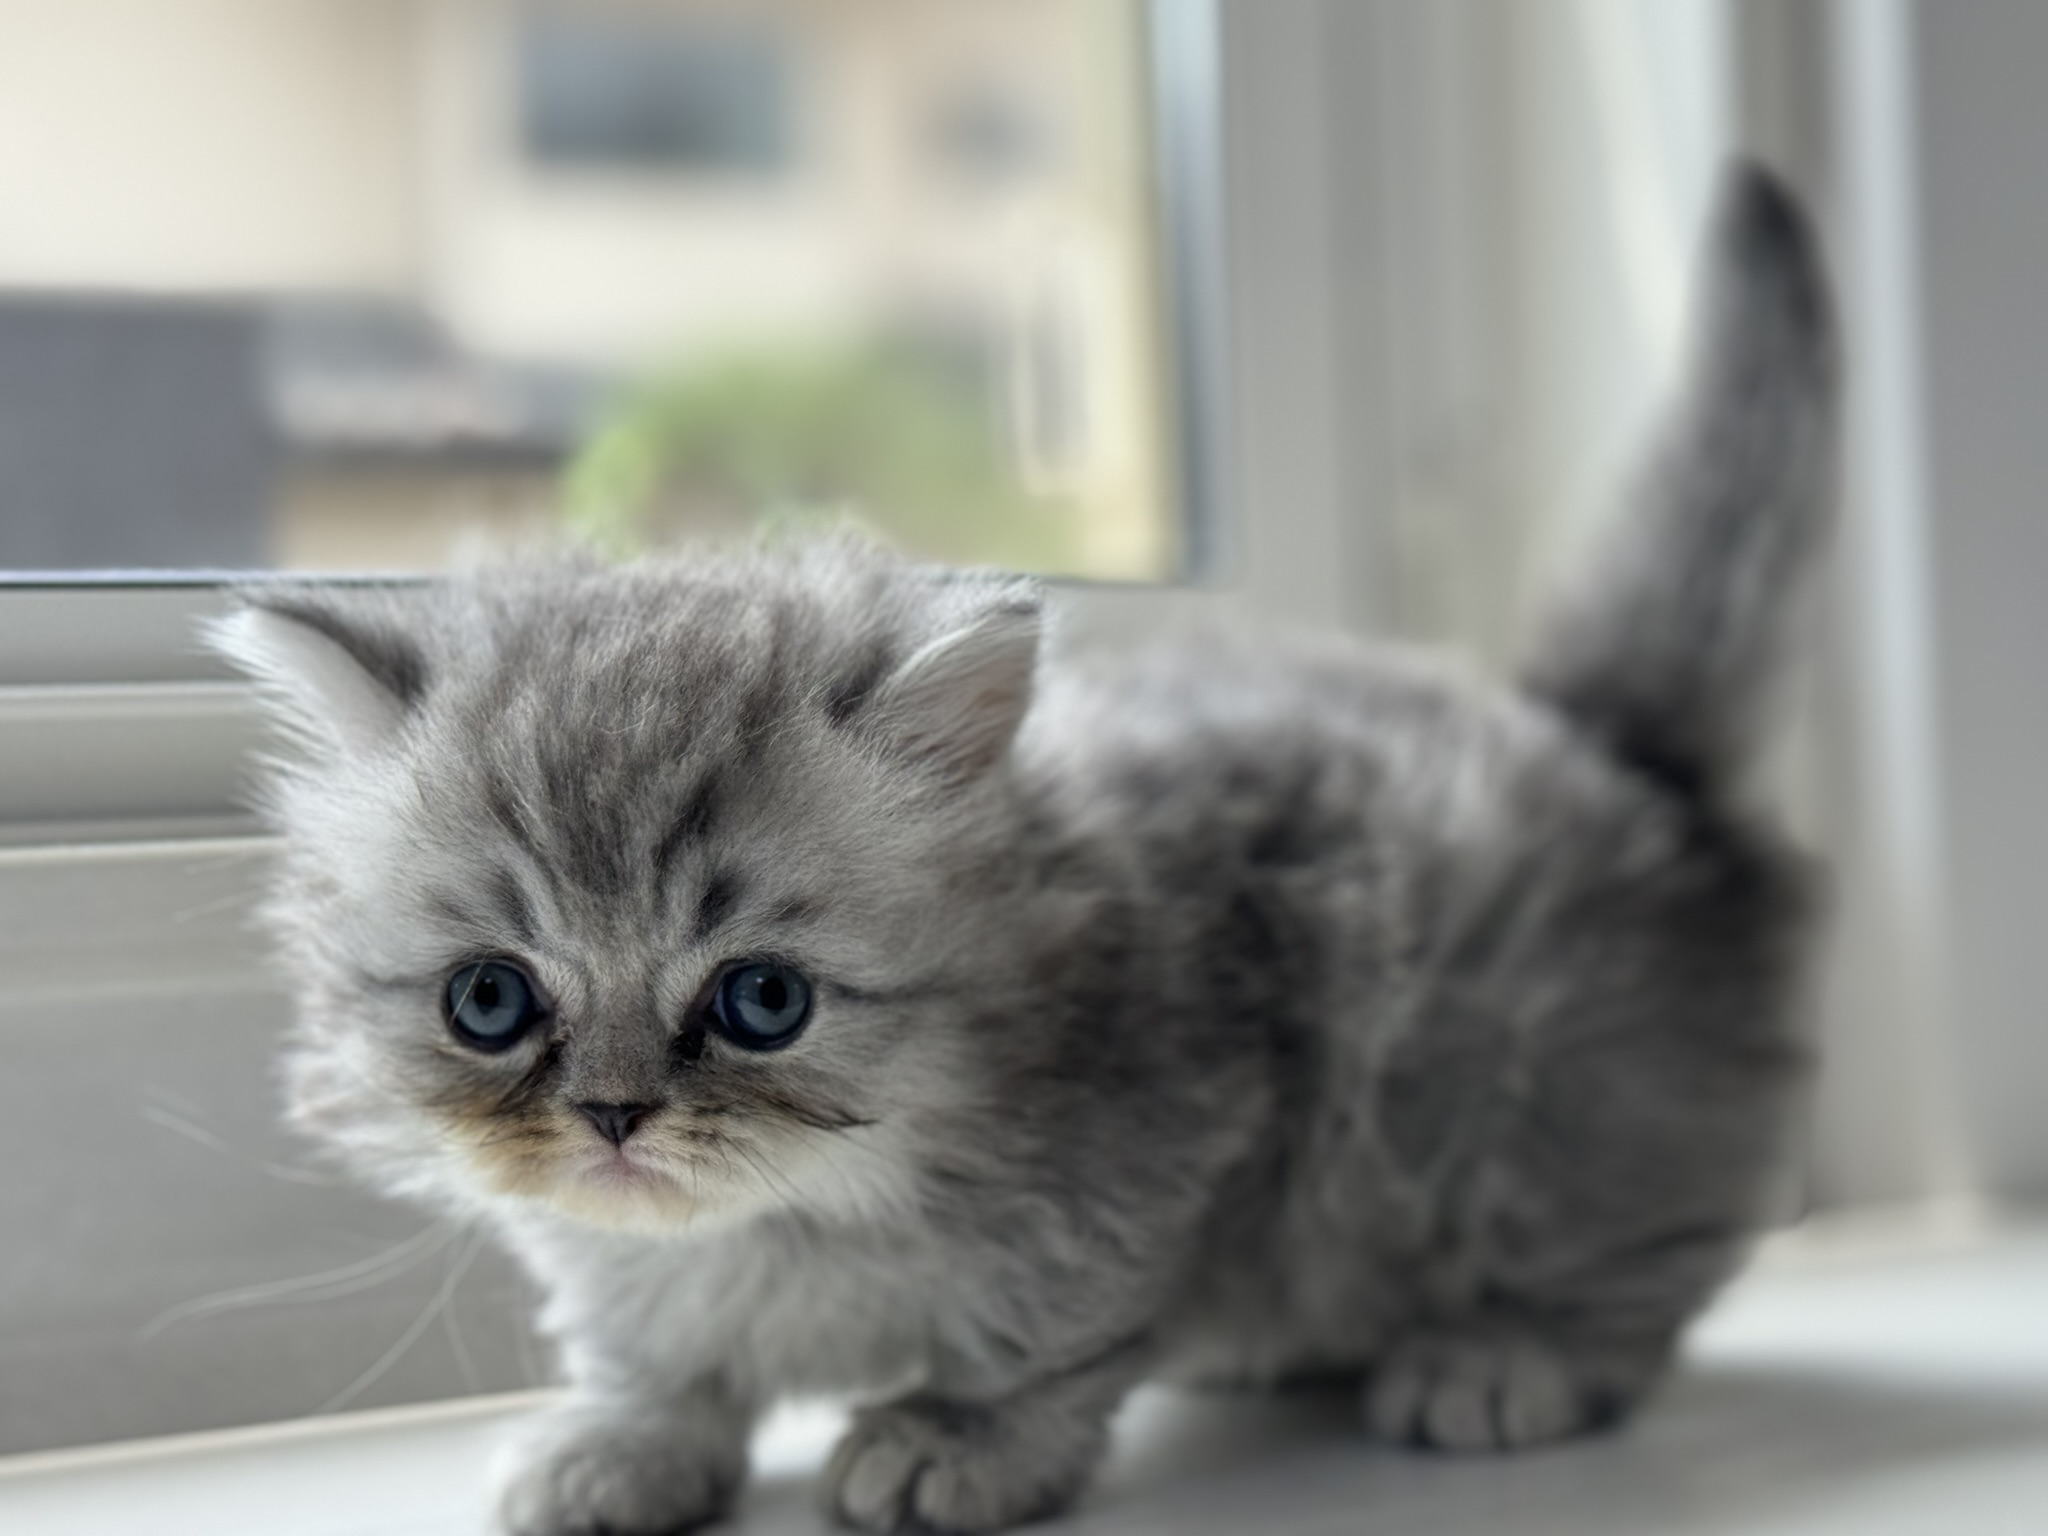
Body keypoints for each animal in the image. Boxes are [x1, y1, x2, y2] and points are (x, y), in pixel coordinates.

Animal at [213, 161, 1835, 1535]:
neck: (795, 1227)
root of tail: (1604, 743)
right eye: (490, 1002)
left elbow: (1044, 1331)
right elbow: (653, 1350)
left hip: (1517, 1101)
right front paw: (626, 1437)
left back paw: (1501, 1357)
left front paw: (956, 1437)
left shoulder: (1177, 1129)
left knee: (1654, 1260)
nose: (613, 1116)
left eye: (761, 1001)